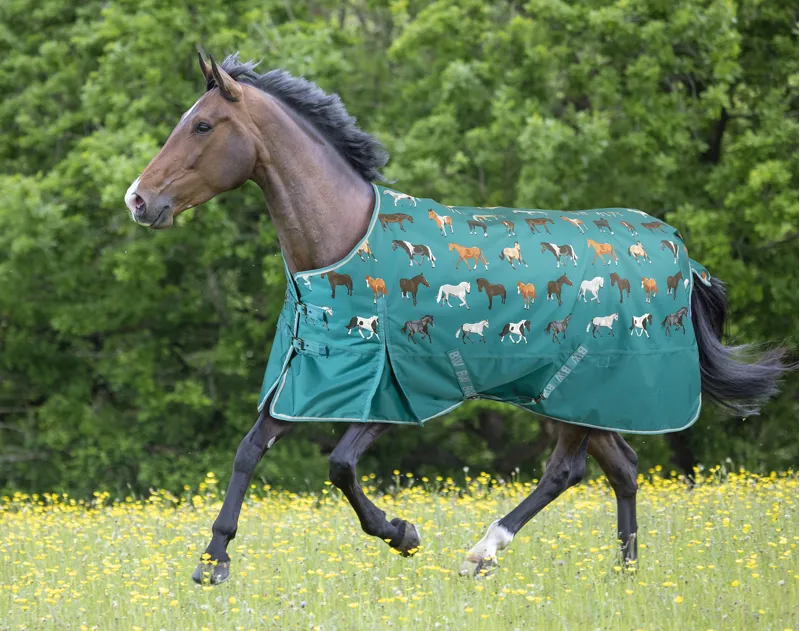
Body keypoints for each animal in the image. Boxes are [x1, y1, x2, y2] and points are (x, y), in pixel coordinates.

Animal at [125, 52, 788, 586]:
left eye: (202, 124)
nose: (138, 199)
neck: (344, 245)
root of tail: (679, 252)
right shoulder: (310, 378)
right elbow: (248, 451)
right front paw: (213, 563)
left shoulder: (396, 391)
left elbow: (340, 466)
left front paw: (403, 534)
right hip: (583, 400)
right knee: (621, 469)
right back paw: (626, 574)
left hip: (578, 387)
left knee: (565, 469)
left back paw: (482, 554)